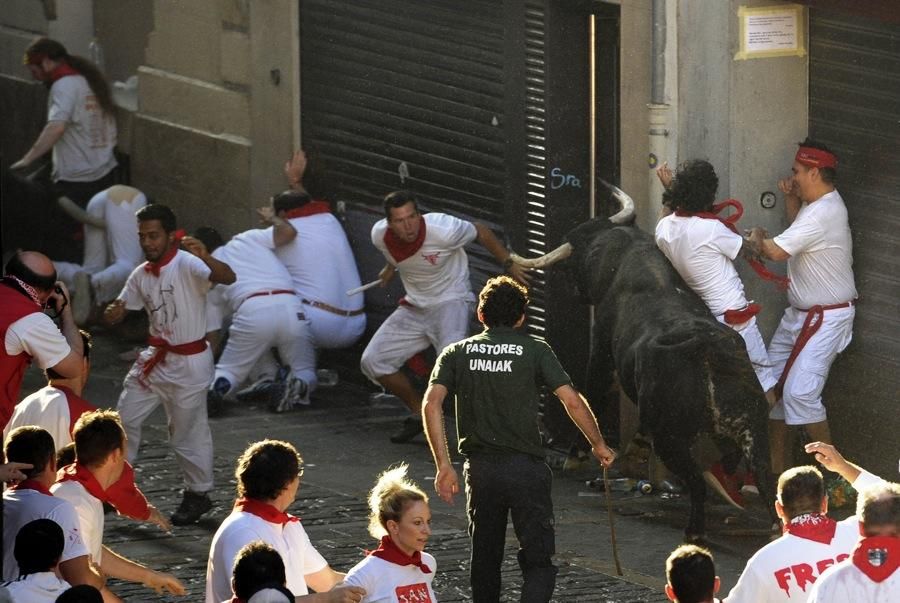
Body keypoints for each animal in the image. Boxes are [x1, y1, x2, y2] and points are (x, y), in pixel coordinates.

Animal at [516, 210, 776, 540]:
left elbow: (592, 394)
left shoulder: (600, 349)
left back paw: (695, 529)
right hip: (752, 426)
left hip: (671, 437)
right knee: (763, 476)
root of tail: (705, 349)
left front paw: (575, 456)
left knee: (698, 482)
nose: (575, 288)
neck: (627, 252)